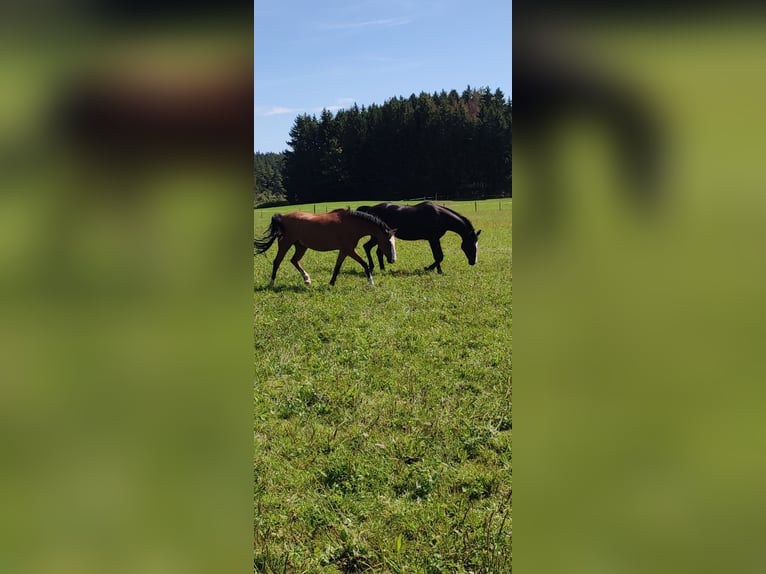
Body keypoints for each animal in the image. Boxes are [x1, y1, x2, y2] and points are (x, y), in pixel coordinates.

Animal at [254, 209, 397, 287]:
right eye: (388, 242)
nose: (393, 260)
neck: (352, 224)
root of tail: (282, 217)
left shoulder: (344, 251)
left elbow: (337, 267)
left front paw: (331, 283)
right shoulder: (349, 250)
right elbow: (365, 264)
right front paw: (371, 283)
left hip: (301, 246)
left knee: (294, 260)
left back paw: (307, 279)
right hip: (285, 244)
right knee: (277, 262)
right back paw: (272, 283)